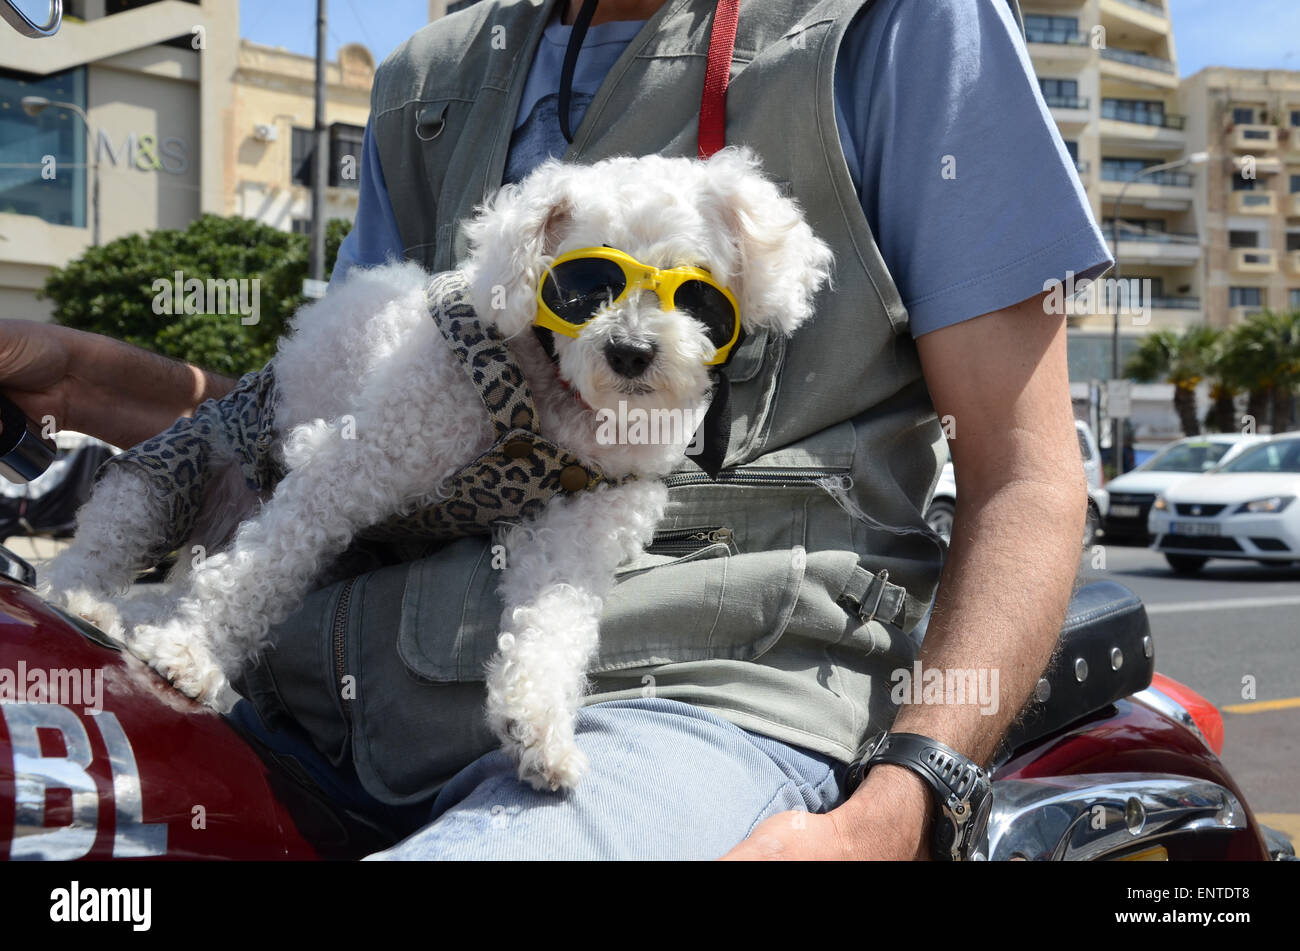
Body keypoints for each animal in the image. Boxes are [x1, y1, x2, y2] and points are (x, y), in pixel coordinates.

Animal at [43, 146, 832, 789]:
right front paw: (190, 652)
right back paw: (90, 603)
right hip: (160, 477)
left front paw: (538, 726)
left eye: (697, 291)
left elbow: (555, 624)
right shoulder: (354, 461)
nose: (631, 352)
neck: (556, 403)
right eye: (583, 285)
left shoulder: (575, 533)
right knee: (96, 555)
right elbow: (262, 568)